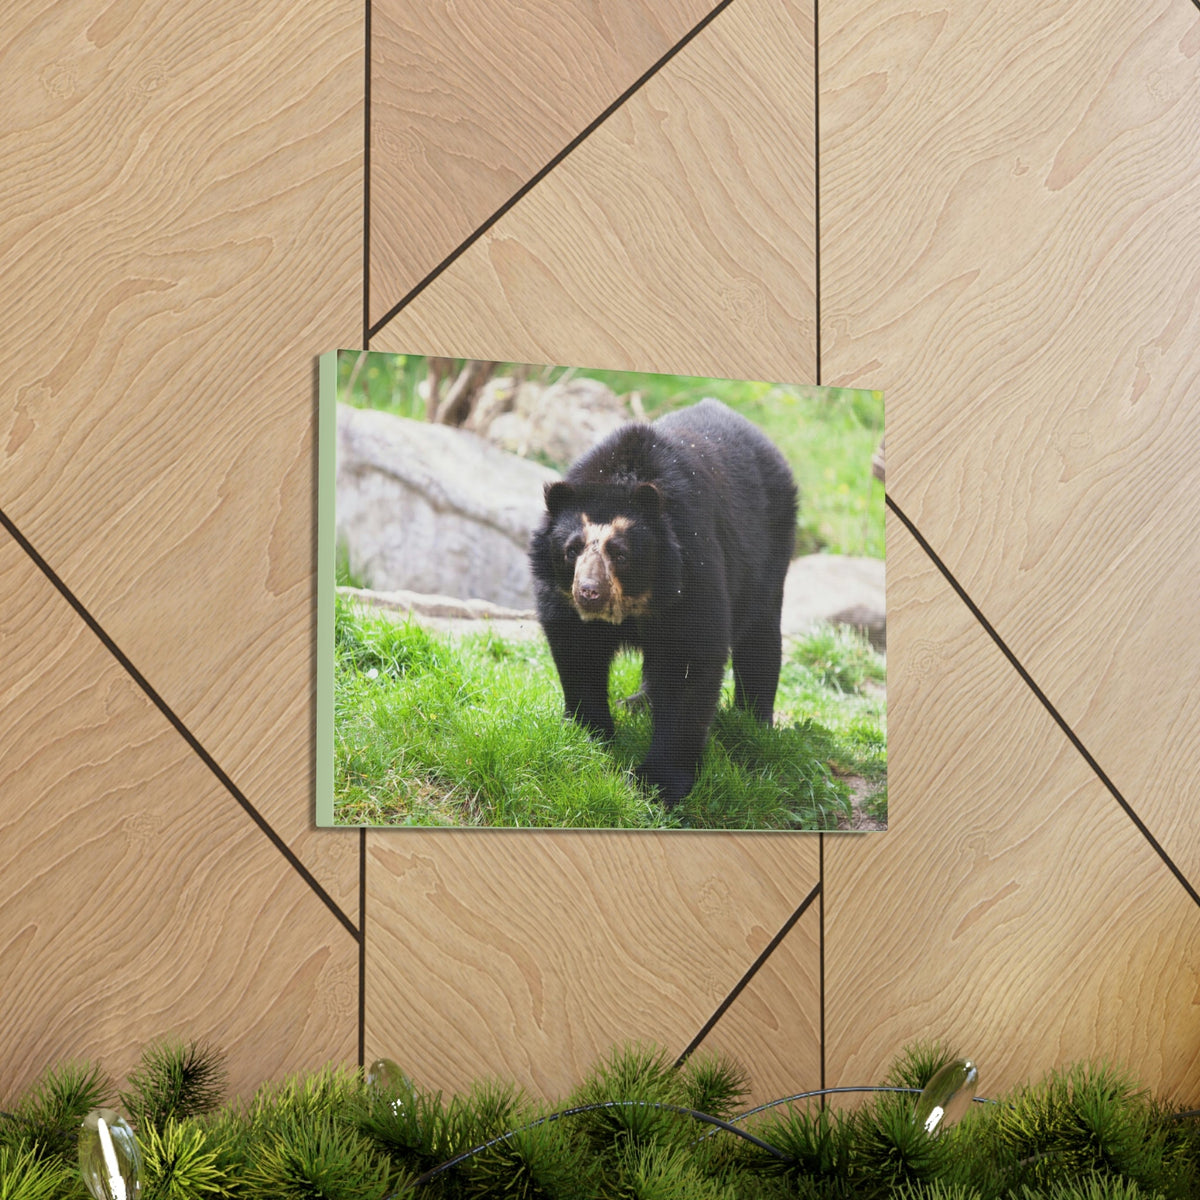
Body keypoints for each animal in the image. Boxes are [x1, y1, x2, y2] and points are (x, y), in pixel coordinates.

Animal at [528, 398, 797, 805]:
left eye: (620, 554)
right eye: (571, 550)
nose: (589, 592)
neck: (635, 600)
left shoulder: (691, 568)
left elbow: (690, 660)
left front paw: (658, 783)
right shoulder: (563, 601)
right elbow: (578, 652)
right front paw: (589, 735)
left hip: (770, 548)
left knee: (760, 637)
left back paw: (753, 721)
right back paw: (637, 702)